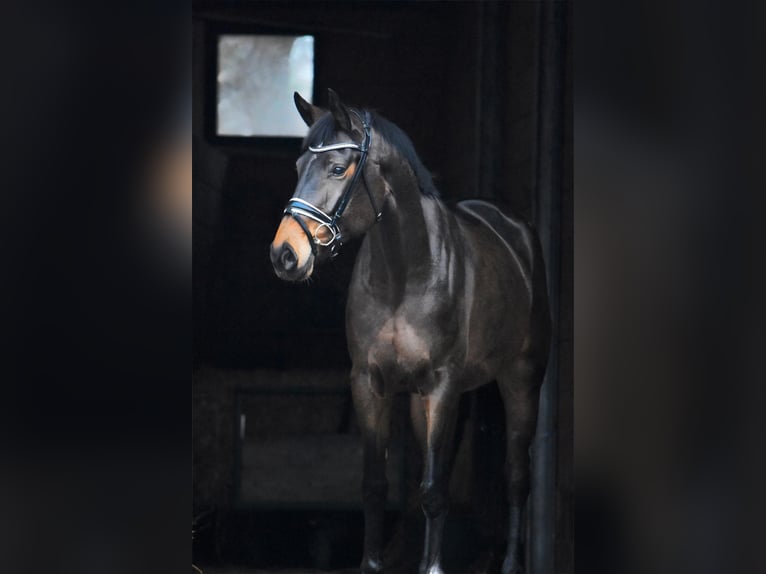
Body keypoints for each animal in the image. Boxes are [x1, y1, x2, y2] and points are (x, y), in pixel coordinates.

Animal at [272, 90, 552, 574]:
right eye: (297, 166)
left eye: (337, 168)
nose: (285, 254)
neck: (404, 274)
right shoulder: (370, 384)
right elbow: (376, 485)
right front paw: (373, 564)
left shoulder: (442, 387)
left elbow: (434, 492)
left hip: (520, 382)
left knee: (516, 477)